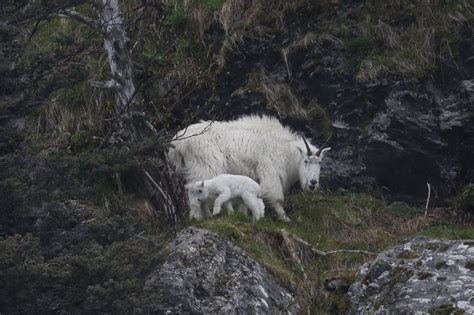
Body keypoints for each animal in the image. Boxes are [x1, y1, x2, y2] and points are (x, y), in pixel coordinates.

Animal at [168, 116, 332, 222]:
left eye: (320, 162)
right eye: (306, 161)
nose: (313, 183)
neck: (285, 150)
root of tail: (177, 144)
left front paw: (244, 214)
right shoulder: (270, 172)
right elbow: (277, 198)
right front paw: (285, 219)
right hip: (205, 167)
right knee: (196, 195)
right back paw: (201, 217)